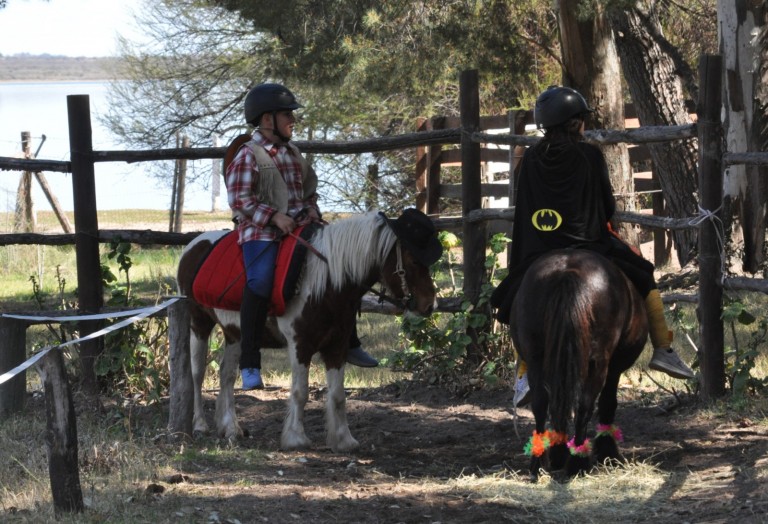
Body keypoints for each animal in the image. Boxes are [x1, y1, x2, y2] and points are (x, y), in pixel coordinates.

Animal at [175, 211, 438, 453]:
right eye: (414, 260)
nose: (429, 305)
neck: (325, 282)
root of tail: (194, 244)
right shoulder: (301, 345)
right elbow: (300, 392)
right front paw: (295, 438)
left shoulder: (337, 347)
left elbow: (338, 394)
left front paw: (343, 440)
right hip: (199, 323)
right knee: (197, 374)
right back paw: (200, 425)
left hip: (235, 335)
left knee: (227, 375)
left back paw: (230, 427)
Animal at [509, 249, 648, 478]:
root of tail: (568, 272)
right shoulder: (614, 368)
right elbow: (608, 403)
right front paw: (608, 452)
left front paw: (559, 453)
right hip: (597, 363)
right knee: (585, 404)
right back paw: (578, 462)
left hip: (537, 357)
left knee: (542, 402)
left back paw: (541, 461)